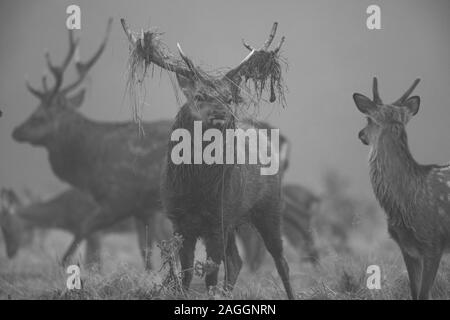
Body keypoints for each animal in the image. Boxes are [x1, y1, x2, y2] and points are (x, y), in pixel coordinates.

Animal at [10, 18, 173, 268]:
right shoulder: (142, 209)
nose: (16, 131)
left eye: (39, 117)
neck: (89, 164)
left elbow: (83, 232)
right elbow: (147, 252)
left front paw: (63, 266)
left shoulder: (118, 199)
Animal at [121, 18, 294, 298]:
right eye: (199, 96)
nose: (221, 115)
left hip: (270, 207)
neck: (197, 189)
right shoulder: (179, 219)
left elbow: (211, 273)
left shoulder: (218, 219)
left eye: (229, 97)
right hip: (234, 220)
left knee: (281, 261)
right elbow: (186, 273)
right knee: (236, 261)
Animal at [354, 77, 450, 300]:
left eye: (368, 119)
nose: (361, 134)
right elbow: (414, 293)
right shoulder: (407, 247)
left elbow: (423, 294)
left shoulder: (434, 241)